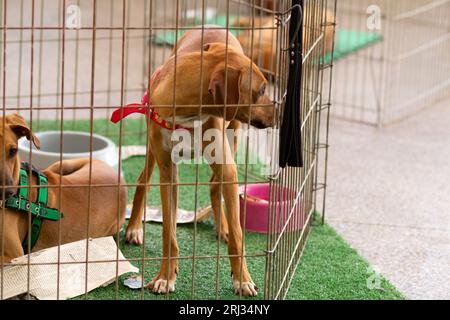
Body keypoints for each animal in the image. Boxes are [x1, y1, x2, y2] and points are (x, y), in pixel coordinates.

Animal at [125, 27, 276, 298]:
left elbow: (239, 235)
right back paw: (133, 228)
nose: (278, 111)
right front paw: (165, 277)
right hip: (153, 152)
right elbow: (169, 233)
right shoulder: (168, 173)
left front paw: (242, 280)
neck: (188, 113)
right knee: (144, 181)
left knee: (217, 185)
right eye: (260, 91)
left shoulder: (227, 166)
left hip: (233, 134)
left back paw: (222, 227)